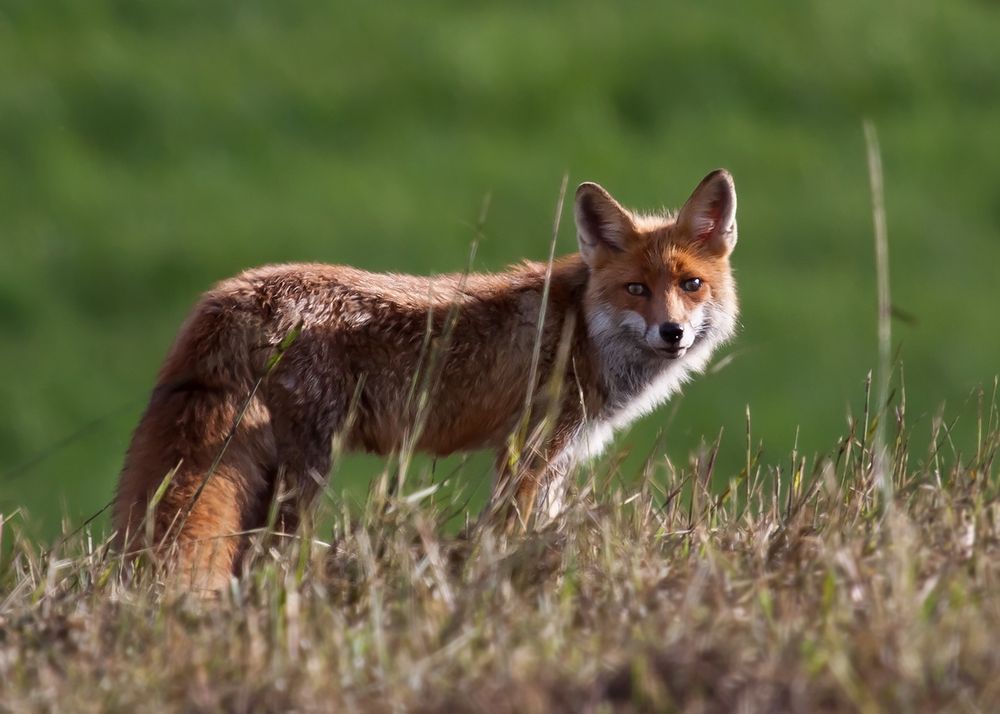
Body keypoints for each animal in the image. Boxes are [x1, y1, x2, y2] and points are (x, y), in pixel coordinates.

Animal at [113, 170, 740, 588]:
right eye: (636, 289)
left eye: (690, 285)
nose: (672, 333)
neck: (581, 330)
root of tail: (230, 295)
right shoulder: (528, 451)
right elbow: (510, 535)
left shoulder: (555, 459)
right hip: (304, 472)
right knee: (264, 556)